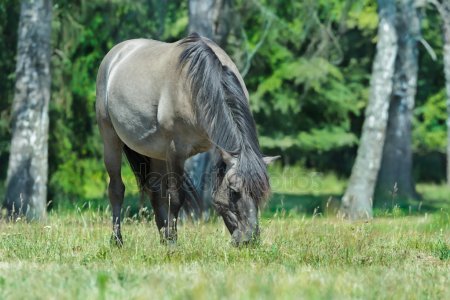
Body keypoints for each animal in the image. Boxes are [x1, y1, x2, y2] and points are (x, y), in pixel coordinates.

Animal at [96, 32, 278, 246]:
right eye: (234, 191)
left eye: (260, 193)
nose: (249, 239)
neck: (195, 85)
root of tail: (116, 54)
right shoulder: (176, 151)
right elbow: (175, 197)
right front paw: (173, 242)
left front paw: (168, 237)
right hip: (111, 139)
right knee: (117, 189)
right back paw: (118, 240)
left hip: (155, 151)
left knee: (155, 191)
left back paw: (162, 236)